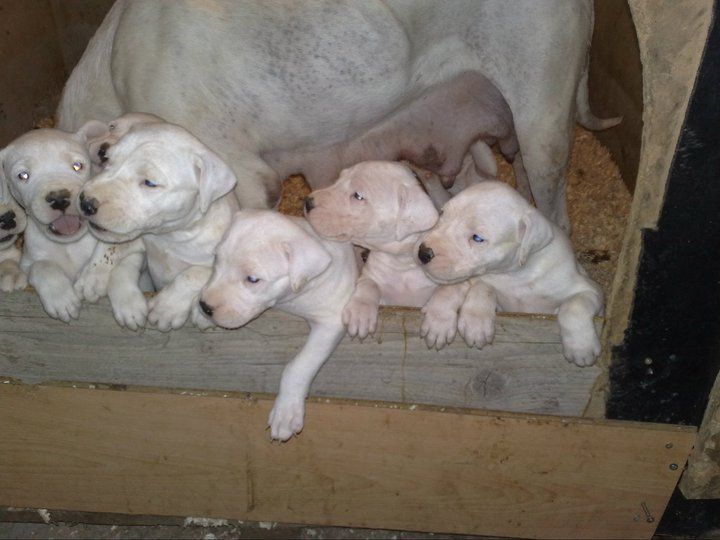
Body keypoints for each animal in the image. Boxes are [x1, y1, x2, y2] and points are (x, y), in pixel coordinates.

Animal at [79, 123, 239, 332]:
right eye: (108, 160)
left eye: (150, 183)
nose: (85, 202)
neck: (171, 236)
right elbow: (110, 247)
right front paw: (93, 275)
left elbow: (195, 273)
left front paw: (167, 308)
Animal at [198, 209, 356, 440]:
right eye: (216, 258)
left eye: (253, 279)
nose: (205, 307)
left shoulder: (330, 321)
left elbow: (299, 365)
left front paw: (286, 412)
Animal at [304, 159, 466, 350]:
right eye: (338, 178)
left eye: (358, 196)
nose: (307, 202)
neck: (403, 262)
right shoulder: (373, 279)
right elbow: (368, 284)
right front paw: (360, 313)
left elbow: (449, 289)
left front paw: (439, 321)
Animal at [416, 181, 600, 368]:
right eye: (442, 213)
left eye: (477, 238)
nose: (423, 253)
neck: (516, 276)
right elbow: (479, 287)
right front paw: (467, 321)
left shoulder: (590, 290)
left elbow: (574, 306)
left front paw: (581, 347)